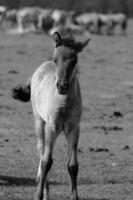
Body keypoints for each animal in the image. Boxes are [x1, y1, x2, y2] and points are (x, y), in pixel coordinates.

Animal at [11, 31, 90, 200]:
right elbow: (46, 162)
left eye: (75, 60)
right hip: (39, 122)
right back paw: (44, 190)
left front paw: (75, 197)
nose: (62, 86)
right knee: (41, 150)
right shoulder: (51, 127)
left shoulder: (74, 128)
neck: (64, 103)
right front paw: (38, 195)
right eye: (55, 59)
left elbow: (73, 165)